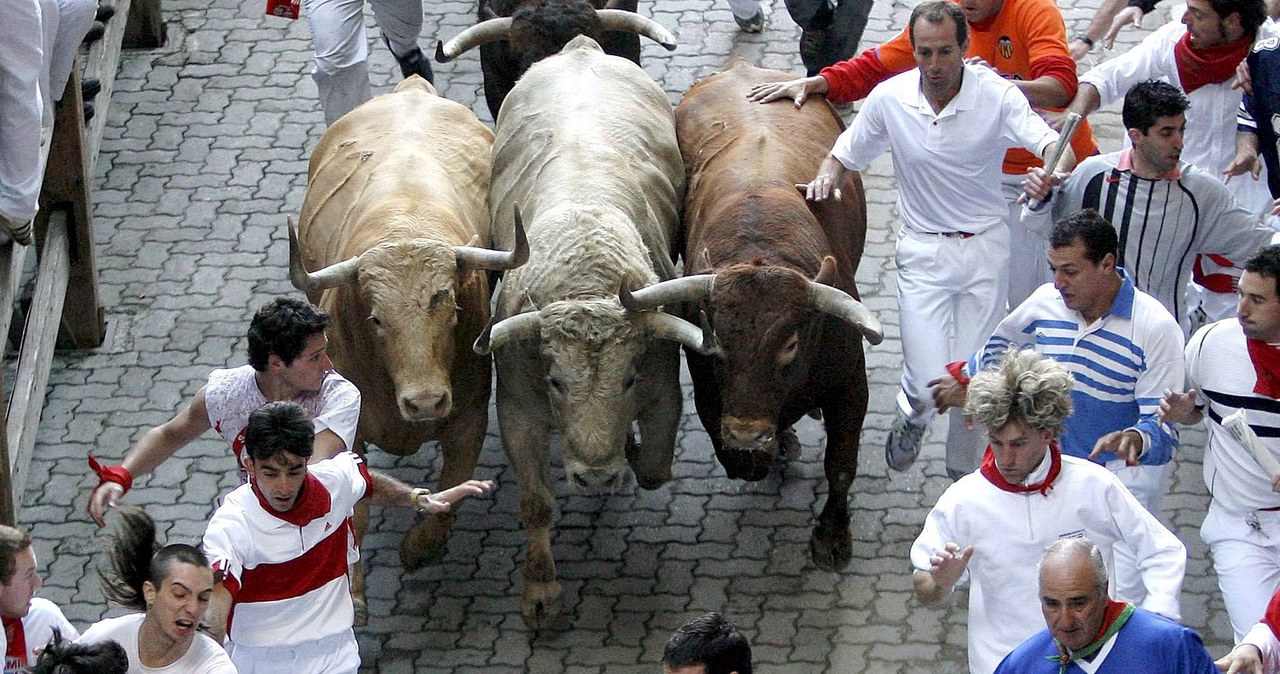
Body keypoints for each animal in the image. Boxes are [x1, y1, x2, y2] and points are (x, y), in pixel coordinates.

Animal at [478, 35, 706, 626]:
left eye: (627, 379)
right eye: (556, 380)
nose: (597, 478)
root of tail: (582, 48)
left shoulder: (663, 393)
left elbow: (653, 468)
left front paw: (625, 453)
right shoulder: (518, 408)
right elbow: (536, 503)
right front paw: (540, 588)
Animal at [629, 60, 880, 572]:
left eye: (791, 343)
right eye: (715, 341)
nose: (747, 432)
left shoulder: (850, 385)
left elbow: (841, 465)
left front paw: (832, 537)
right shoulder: (711, 395)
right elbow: (738, 456)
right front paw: (770, 447)